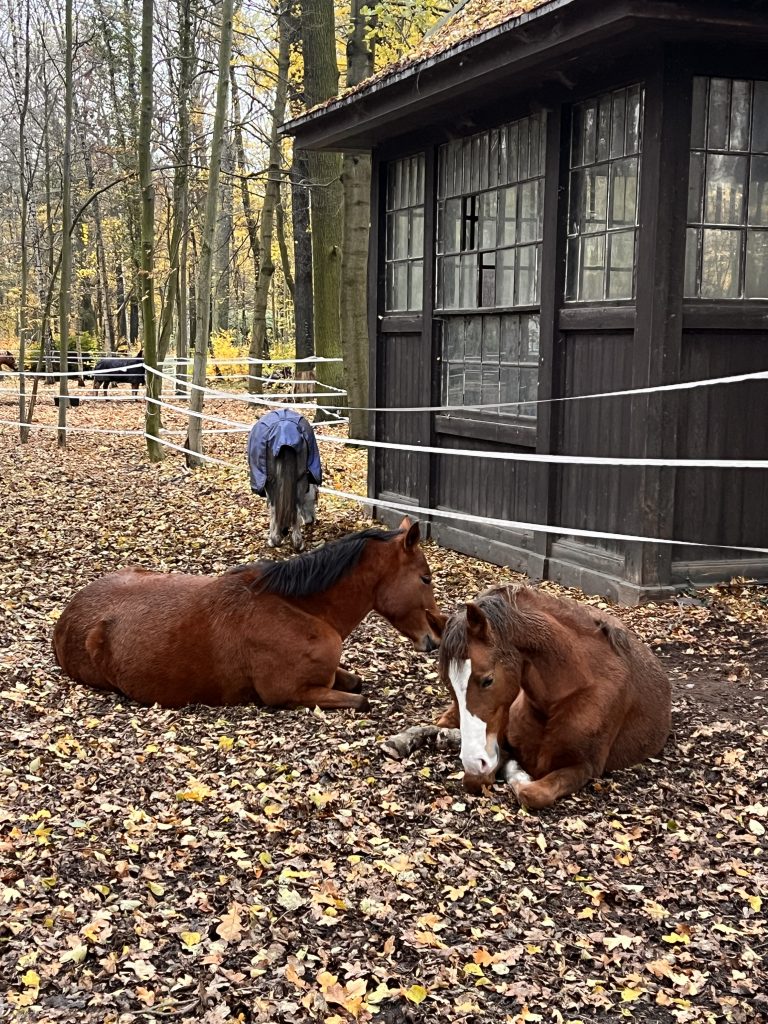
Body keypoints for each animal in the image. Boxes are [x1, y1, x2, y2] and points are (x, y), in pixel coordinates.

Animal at [53, 518, 440, 711]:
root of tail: (67, 616)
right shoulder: (291, 693)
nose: (435, 639)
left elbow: (356, 683)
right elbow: (361, 700)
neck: (300, 609)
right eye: (425, 578)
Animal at [248, 409, 322, 551]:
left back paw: (274, 539)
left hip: (271, 481)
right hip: (300, 479)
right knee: (296, 506)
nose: (311, 520)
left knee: (274, 507)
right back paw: (298, 542)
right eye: (316, 495)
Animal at [428, 585, 671, 809]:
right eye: (447, 683)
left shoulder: (585, 767)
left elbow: (532, 793)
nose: (473, 761)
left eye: (488, 680)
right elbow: (477, 779)